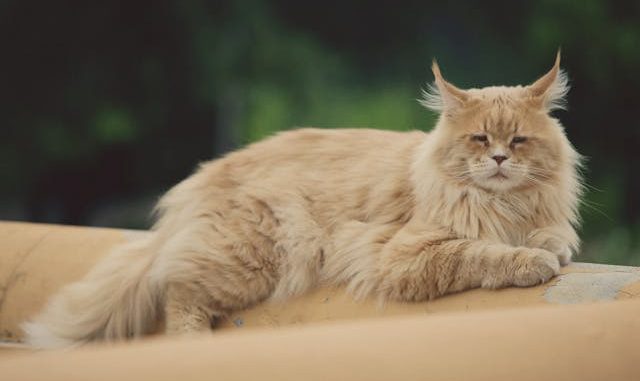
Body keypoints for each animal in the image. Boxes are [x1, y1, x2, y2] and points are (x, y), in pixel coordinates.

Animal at [22, 53, 584, 348]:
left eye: (519, 141)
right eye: (479, 139)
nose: (499, 160)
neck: (505, 206)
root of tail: (201, 181)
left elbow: (548, 235)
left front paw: (546, 245)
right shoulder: (404, 254)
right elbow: (481, 253)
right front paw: (531, 260)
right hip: (255, 254)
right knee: (178, 291)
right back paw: (194, 345)